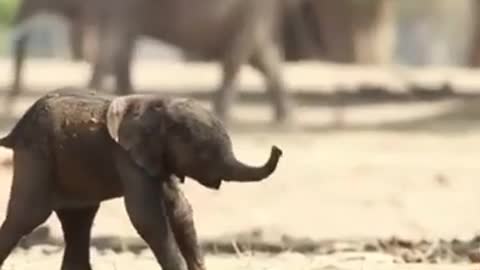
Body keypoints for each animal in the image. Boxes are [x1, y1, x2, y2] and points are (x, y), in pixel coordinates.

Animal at [0, 87, 282, 270]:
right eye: (204, 152)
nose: (277, 148)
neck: (160, 107)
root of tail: (14, 130)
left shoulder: (158, 156)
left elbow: (180, 210)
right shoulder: (127, 155)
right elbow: (147, 216)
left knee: (79, 220)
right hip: (36, 154)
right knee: (28, 216)